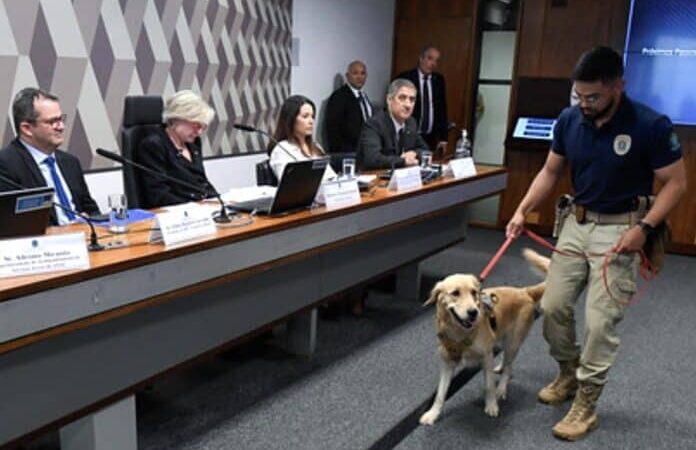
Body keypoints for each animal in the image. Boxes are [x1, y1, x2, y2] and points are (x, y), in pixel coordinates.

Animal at [418, 248, 548, 424]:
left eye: (474, 293)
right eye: (455, 293)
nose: (473, 312)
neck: (460, 333)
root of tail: (524, 291)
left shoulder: (486, 356)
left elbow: (489, 386)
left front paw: (491, 405)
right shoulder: (447, 363)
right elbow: (440, 393)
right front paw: (433, 413)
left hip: (513, 342)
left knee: (508, 368)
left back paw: (501, 389)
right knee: (508, 364)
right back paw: (500, 367)